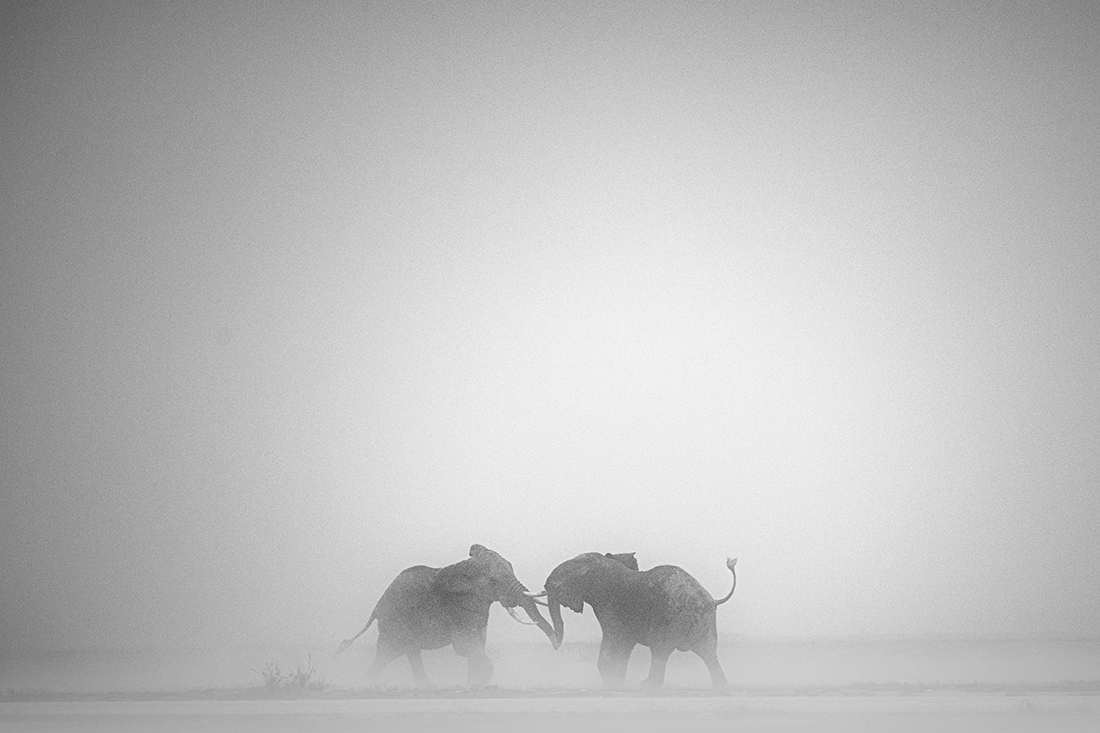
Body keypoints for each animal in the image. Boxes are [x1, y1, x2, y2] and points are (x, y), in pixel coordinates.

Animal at [335, 544, 559, 687]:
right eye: (493, 581)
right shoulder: (459, 607)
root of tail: (376, 608)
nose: (557, 646)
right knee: (389, 653)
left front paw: (472, 686)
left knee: (404, 652)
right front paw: (476, 686)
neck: (464, 566)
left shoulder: (477, 606)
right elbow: (466, 646)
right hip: (394, 621)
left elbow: (477, 644)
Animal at [543, 552, 737, 688]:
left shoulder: (609, 607)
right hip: (706, 623)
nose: (556, 646)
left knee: (661, 650)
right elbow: (624, 647)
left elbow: (615, 639)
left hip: (673, 618)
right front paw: (616, 682)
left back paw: (647, 685)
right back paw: (722, 687)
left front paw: (611, 683)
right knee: (709, 654)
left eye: (569, 575)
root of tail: (712, 600)